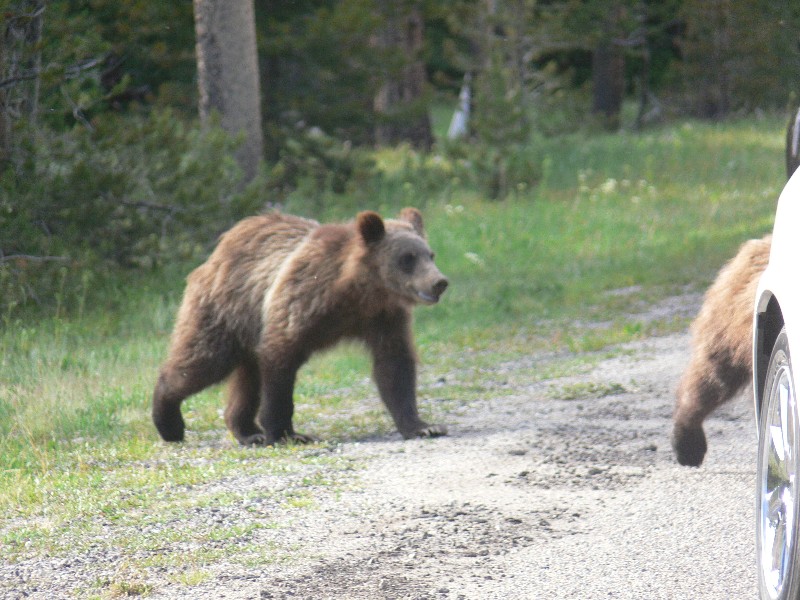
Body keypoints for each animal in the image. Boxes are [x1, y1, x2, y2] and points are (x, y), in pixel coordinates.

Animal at [152, 206, 450, 446]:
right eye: (407, 257)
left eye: (430, 254)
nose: (439, 282)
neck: (358, 291)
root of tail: (217, 251)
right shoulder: (301, 301)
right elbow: (280, 363)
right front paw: (287, 433)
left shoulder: (383, 317)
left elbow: (394, 365)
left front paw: (423, 426)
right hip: (225, 311)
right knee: (202, 362)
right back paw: (169, 423)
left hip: (248, 327)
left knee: (247, 377)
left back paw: (249, 432)